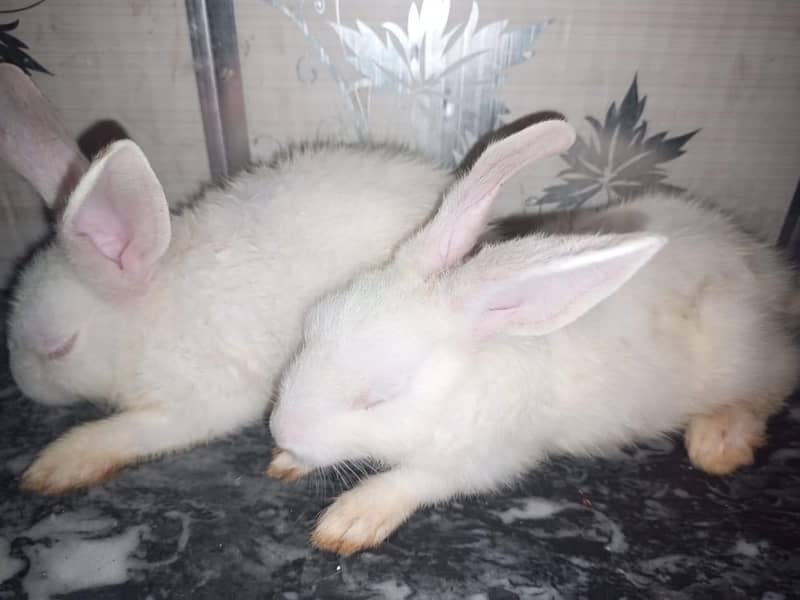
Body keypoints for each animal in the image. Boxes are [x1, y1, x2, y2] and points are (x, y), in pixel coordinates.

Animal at [0, 63, 564, 494]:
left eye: (58, 348)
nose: (22, 386)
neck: (148, 314)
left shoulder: (207, 400)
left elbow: (135, 429)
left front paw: (58, 463)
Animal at [266, 119, 800, 555]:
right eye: (310, 330)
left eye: (378, 397)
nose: (280, 430)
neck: (464, 383)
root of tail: (768, 269)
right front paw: (287, 461)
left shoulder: (488, 456)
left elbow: (418, 478)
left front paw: (350, 520)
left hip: (741, 357)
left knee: (777, 378)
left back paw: (718, 442)